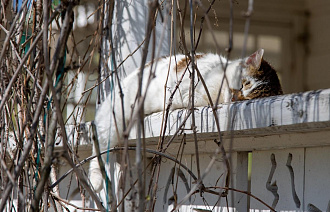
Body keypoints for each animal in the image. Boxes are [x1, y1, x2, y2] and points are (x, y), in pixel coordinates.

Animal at [88, 48, 282, 192]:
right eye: (243, 83)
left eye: (247, 98)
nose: (235, 96)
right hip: (116, 117)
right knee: (100, 145)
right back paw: (95, 180)